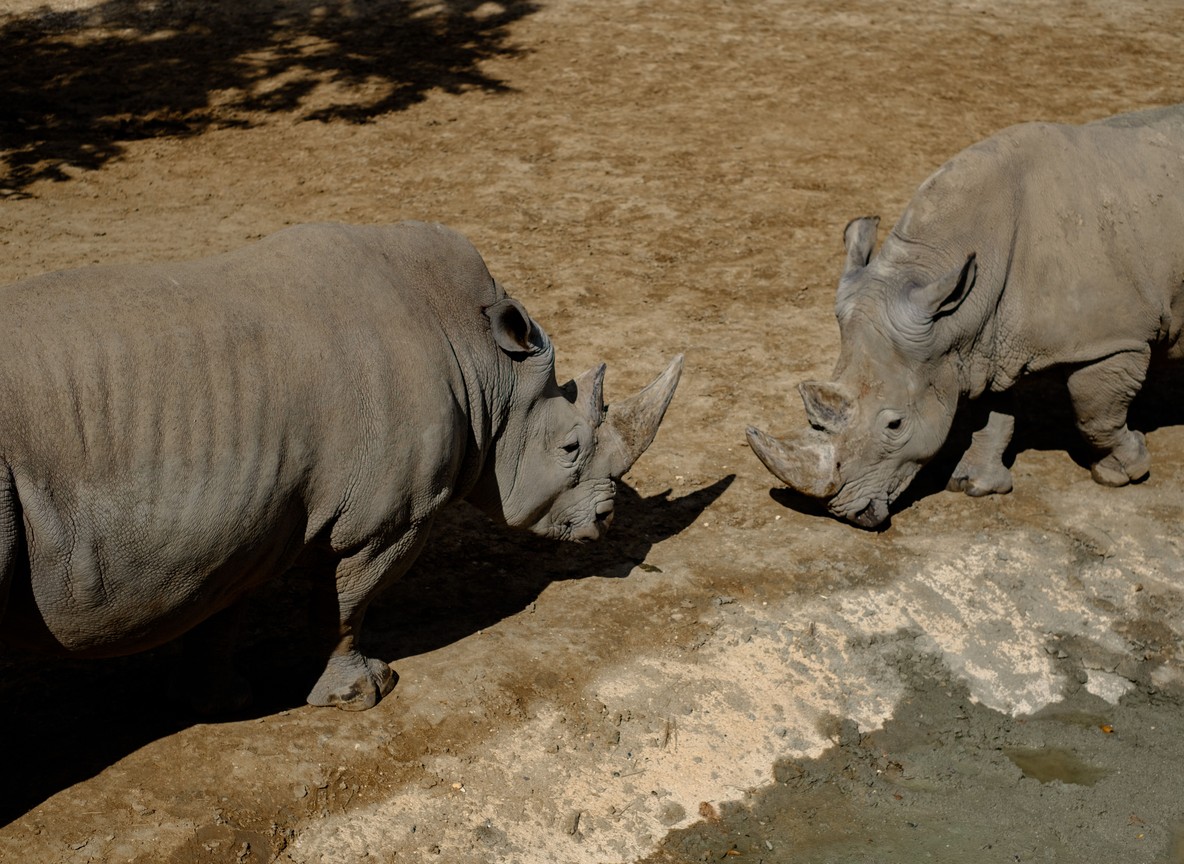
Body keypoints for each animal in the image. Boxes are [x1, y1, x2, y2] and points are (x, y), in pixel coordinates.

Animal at [0, 221, 682, 710]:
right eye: (570, 447)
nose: (605, 520)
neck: (489, 369)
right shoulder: (389, 518)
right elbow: (347, 605)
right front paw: (364, 695)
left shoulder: (244, 510)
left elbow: (221, 608)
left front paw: (216, 702)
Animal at [747, 103, 1184, 528]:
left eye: (895, 425)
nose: (844, 514)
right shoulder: (980, 340)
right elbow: (989, 413)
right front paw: (974, 486)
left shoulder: (1113, 341)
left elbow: (1095, 415)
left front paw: (1123, 473)